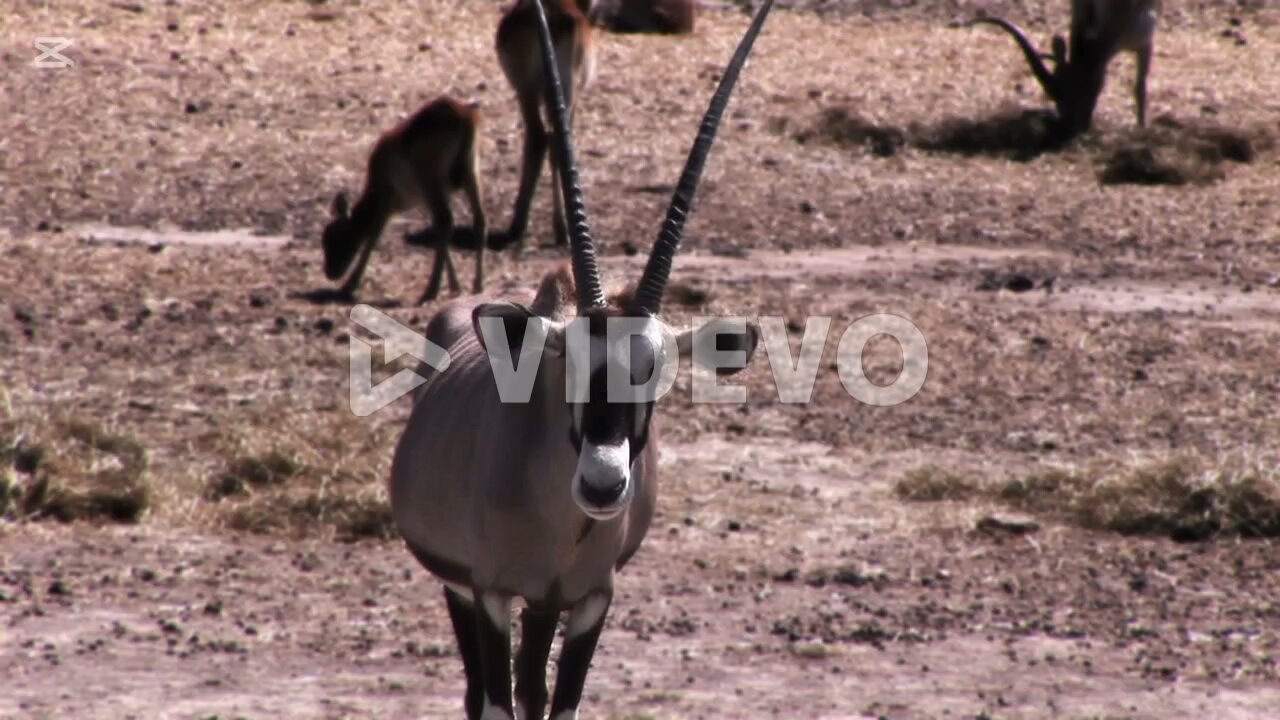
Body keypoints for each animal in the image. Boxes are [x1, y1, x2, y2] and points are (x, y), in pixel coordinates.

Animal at [325, 94, 488, 302]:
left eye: (336, 239)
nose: (330, 272)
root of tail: (466, 117)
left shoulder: (386, 198)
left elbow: (373, 237)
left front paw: (349, 286)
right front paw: (455, 285)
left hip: (430, 173)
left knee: (446, 219)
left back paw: (430, 290)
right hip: (471, 167)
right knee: (478, 219)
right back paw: (477, 285)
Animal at [491, 0, 596, 252]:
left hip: (528, 89)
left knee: (539, 138)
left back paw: (519, 224)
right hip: (562, 92)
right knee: (557, 143)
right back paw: (561, 230)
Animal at [967, 0, 1162, 141]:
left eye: (1080, 90)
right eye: (1055, 98)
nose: (1068, 129)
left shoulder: (1145, 41)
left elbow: (1140, 86)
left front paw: (1142, 127)